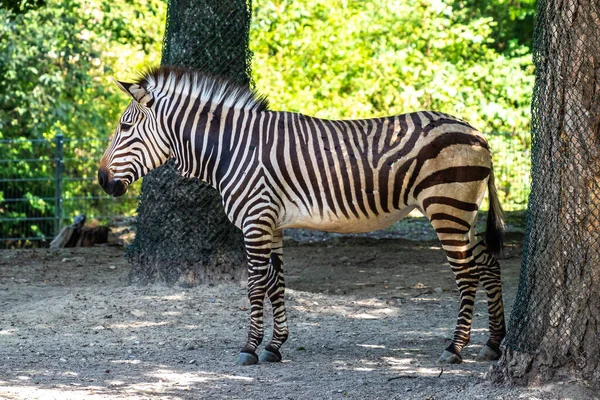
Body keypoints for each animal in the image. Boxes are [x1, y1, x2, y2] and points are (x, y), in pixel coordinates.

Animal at [98, 65, 506, 366]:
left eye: (125, 127)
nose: (102, 181)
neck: (231, 149)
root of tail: (478, 134)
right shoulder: (272, 223)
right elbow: (275, 283)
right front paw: (274, 346)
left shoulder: (255, 220)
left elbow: (255, 284)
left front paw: (249, 349)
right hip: (463, 212)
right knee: (488, 263)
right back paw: (493, 343)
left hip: (446, 208)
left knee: (468, 274)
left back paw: (455, 348)